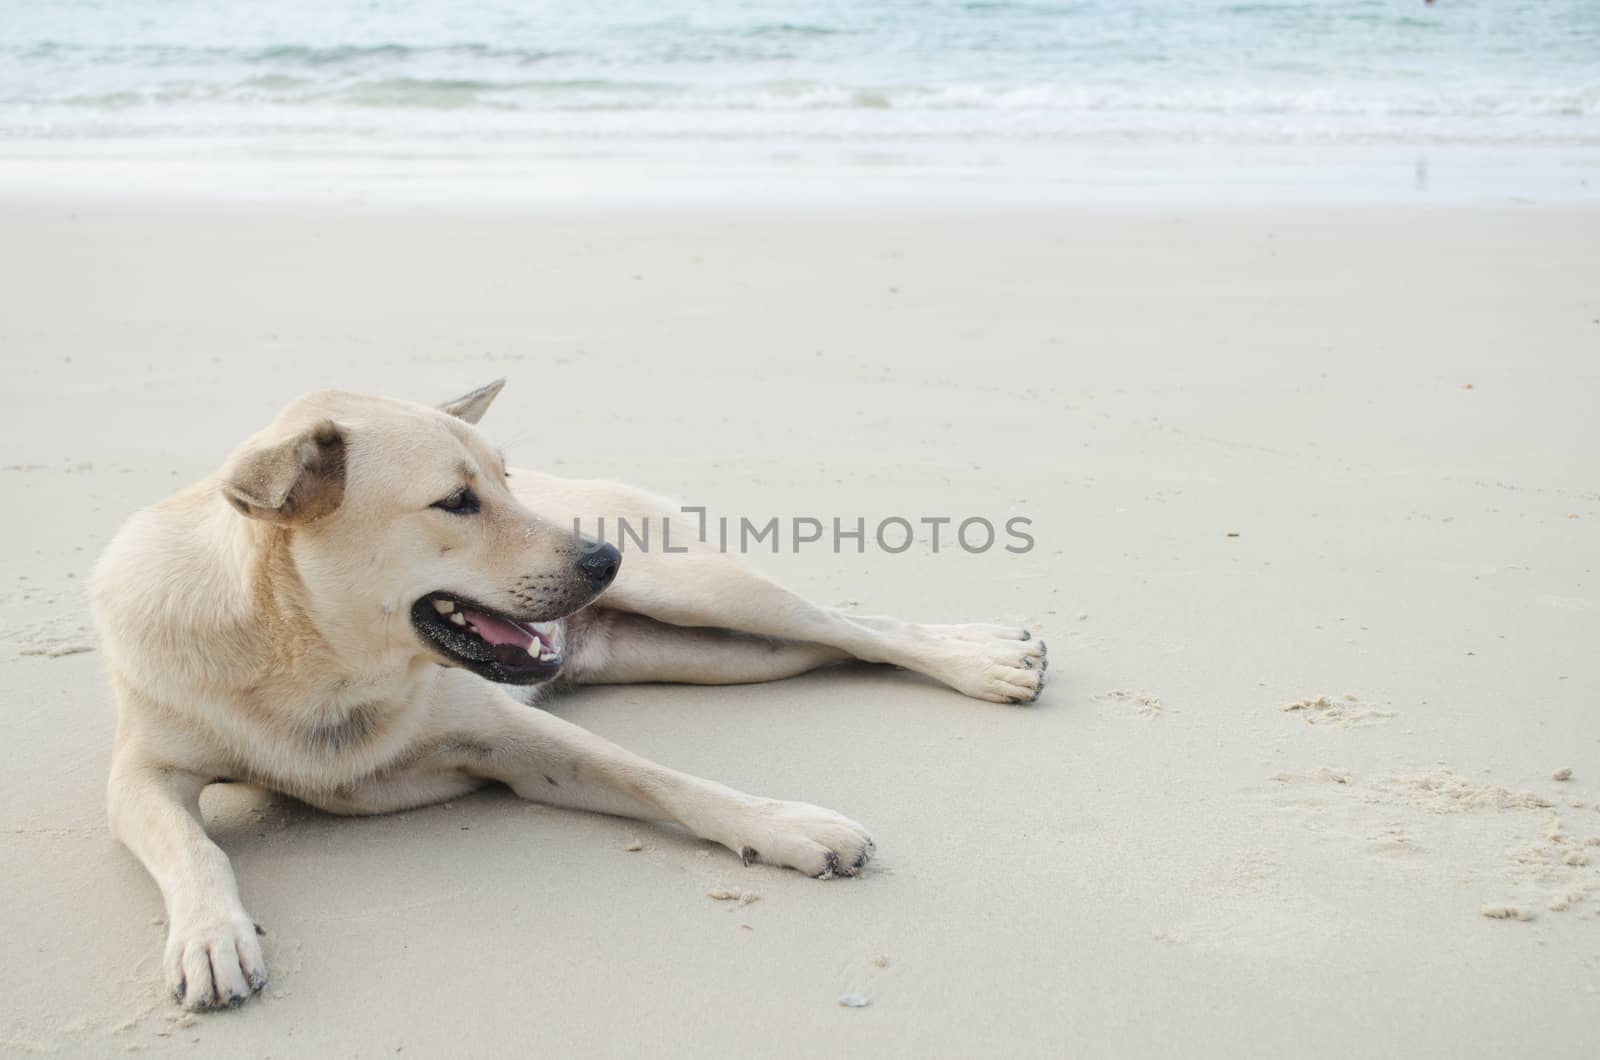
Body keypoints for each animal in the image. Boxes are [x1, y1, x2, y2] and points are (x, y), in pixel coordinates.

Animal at [90, 382, 1049, 1011]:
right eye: (457, 501)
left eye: (506, 482)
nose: (603, 559)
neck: (319, 664)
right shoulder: (141, 774)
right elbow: (192, 847)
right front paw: (211, 934)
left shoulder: (516, 738)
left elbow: (668, 780)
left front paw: (786, 826)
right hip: (731, 654)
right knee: (828, 648)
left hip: (705, 593)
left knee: (855, 625)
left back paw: (986, 659)